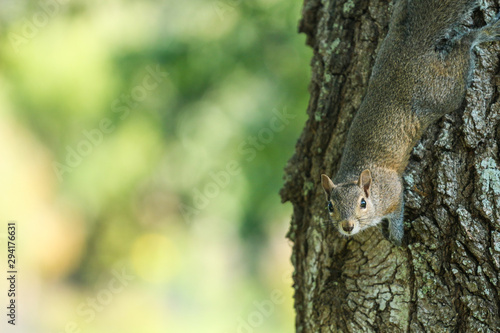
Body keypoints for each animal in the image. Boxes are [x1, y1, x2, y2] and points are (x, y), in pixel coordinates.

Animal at [320, 0, 500, 244]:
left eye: (362, 203)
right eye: (330, 206)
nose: (347, 227)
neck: (373, 190)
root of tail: (412, 49)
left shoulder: (394, 191)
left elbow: (397, 215)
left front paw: (397, 240)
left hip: (443, 92)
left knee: (464, 44)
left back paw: (485, 33)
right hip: (396, 33)